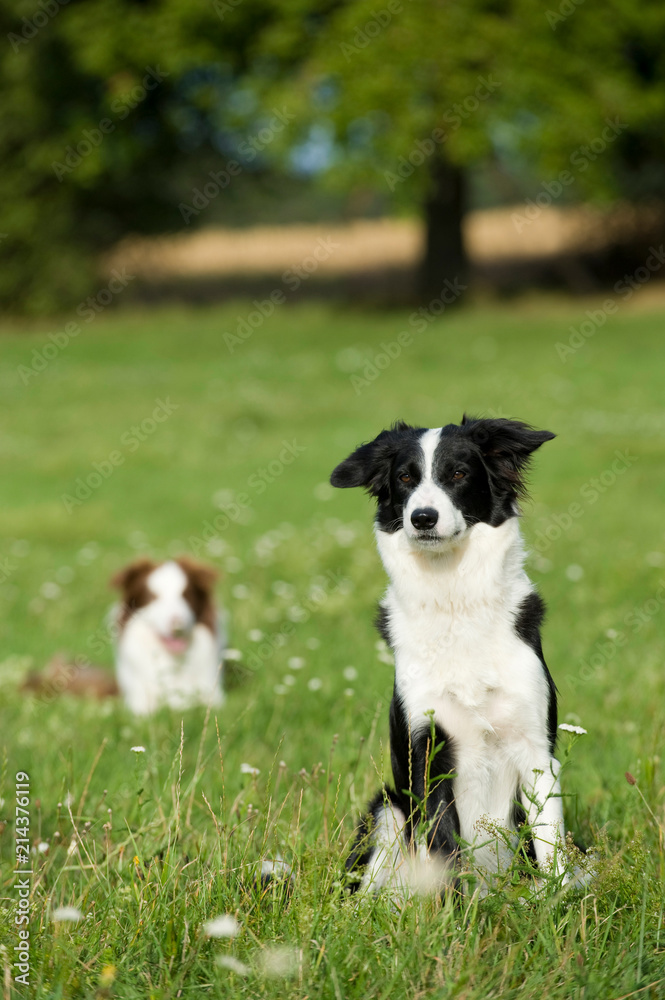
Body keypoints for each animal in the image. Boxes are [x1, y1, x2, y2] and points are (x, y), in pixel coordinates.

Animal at [332, 418, 564, 896]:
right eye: (405, 477)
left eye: (458, 473)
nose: (423, 517)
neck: (455, 600)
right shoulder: (426, 749)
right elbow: (444, 845)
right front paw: (456, 911)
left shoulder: (537, 750)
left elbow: (552, 850)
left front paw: (559, 900)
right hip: (387, 809)